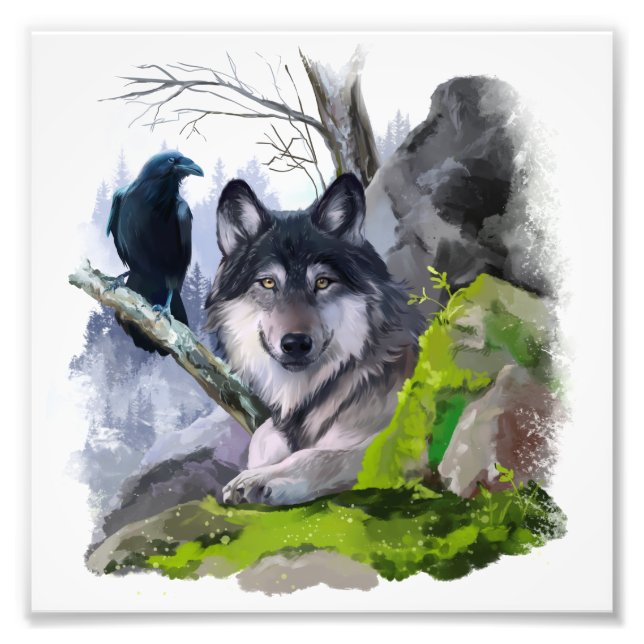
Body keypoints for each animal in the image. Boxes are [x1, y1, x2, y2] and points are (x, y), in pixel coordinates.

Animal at [204, 173, 425, 506]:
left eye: (322, 282)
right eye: (268, 283)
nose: (295, 343)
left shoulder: (405, 443)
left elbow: (316, 455)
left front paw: (260, 479)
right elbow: (263, 437)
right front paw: (258, 466)